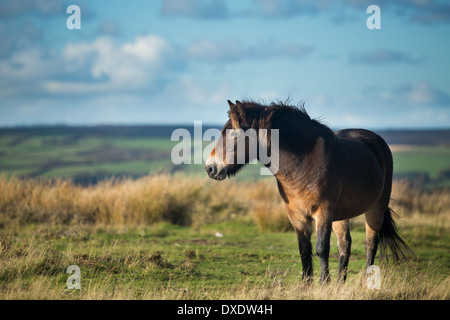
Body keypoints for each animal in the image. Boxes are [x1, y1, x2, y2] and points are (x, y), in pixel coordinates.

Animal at [206, 99, 414, 282]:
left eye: (233, 134)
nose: (210, 168)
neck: (303, 164)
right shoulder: (296, 215)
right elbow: (304, 250)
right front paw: (306, 286)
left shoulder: (323, 212)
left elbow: (321, 248)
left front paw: (323, 284)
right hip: (341, 215)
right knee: (345, 246)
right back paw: (340, 284)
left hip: (375, 208)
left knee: (370, 245)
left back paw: (366, 283)